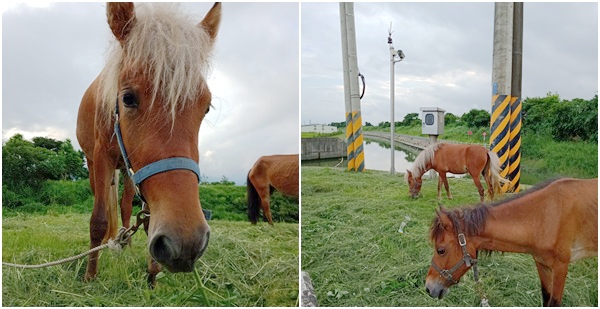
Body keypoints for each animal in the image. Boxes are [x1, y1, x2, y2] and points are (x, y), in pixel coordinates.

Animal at [76, 1, 221, 286]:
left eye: (206, 106)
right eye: (128, 98)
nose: (186, 243)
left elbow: (145, 218)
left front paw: (152, 274)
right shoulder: (101, 157)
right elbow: (98, 219)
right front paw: (90, 275)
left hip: (127, 170)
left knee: (124, 207)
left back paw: (126, 244)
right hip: (96, 163)